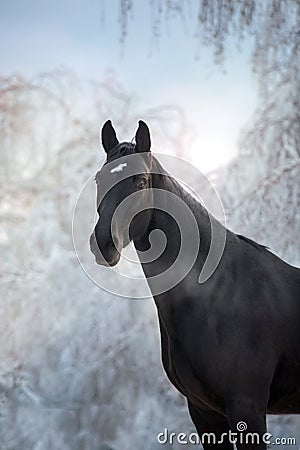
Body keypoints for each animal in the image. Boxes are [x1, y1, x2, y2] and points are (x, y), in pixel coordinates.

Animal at [89, 120, 300, 450]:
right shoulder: (204, 412)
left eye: (141, 181)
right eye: (99, 179)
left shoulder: (247, 406)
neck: (220, 295)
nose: (103, 243)